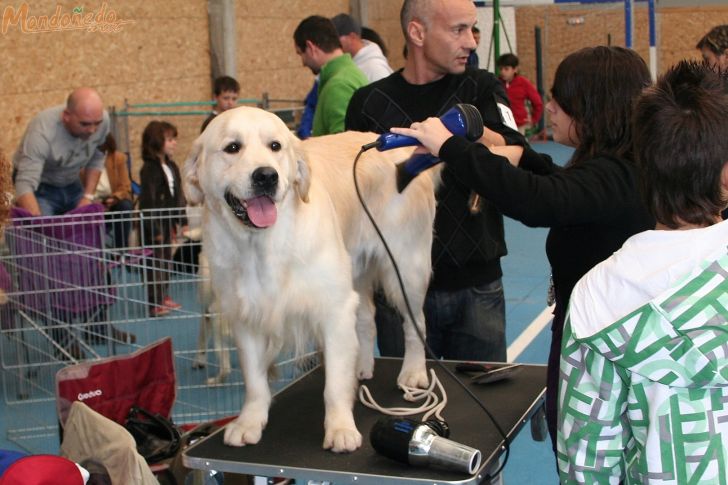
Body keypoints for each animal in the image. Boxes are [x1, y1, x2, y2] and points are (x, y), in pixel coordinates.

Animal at [185, 106, 436, 450]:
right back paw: (361, 366)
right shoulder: (245, 316)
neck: (261, 245)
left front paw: (341, 428)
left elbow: (333, 385)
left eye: (275, 146)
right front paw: (250, 422)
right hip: (356, 271)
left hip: (405, 268)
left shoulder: (333, 307)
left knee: (416, 322)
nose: (266, 176)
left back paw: (413, 372)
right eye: (232, 147)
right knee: (366, 320)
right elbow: (255, 380)